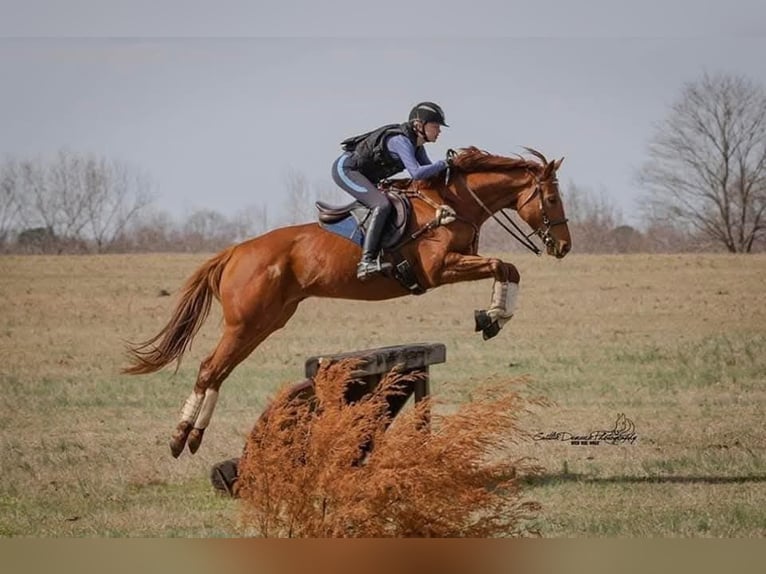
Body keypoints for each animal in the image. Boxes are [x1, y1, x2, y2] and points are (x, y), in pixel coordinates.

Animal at [124, 145, 568, 460]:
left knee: (218, 371)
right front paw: (493, 316)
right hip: (246, 322)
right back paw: (179, 439)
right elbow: (503, 265)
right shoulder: (438, 269)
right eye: (550, 200)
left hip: (264, 323)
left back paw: (193, 437)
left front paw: (492, 317)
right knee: (208, 369)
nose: (563, 246)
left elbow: (508, 268)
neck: (452, 201)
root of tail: (235, 251)